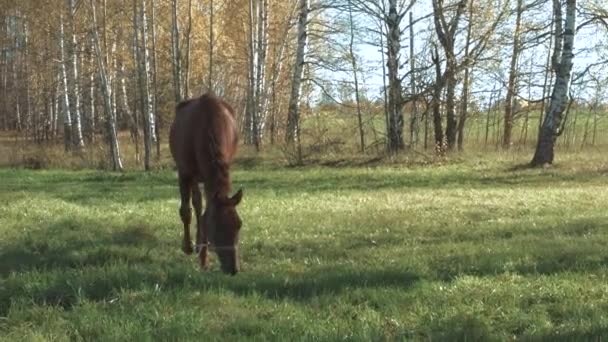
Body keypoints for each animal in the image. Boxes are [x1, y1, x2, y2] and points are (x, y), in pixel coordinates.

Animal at [169, 93, 245, 276]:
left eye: (239, 224)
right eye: (215, 227)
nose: (233, 269)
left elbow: (202, 211)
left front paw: (203, 257)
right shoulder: (184, 172)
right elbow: (186, 211)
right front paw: (189, 247)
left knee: (198, 202)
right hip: (194, 176)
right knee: (195, 204)